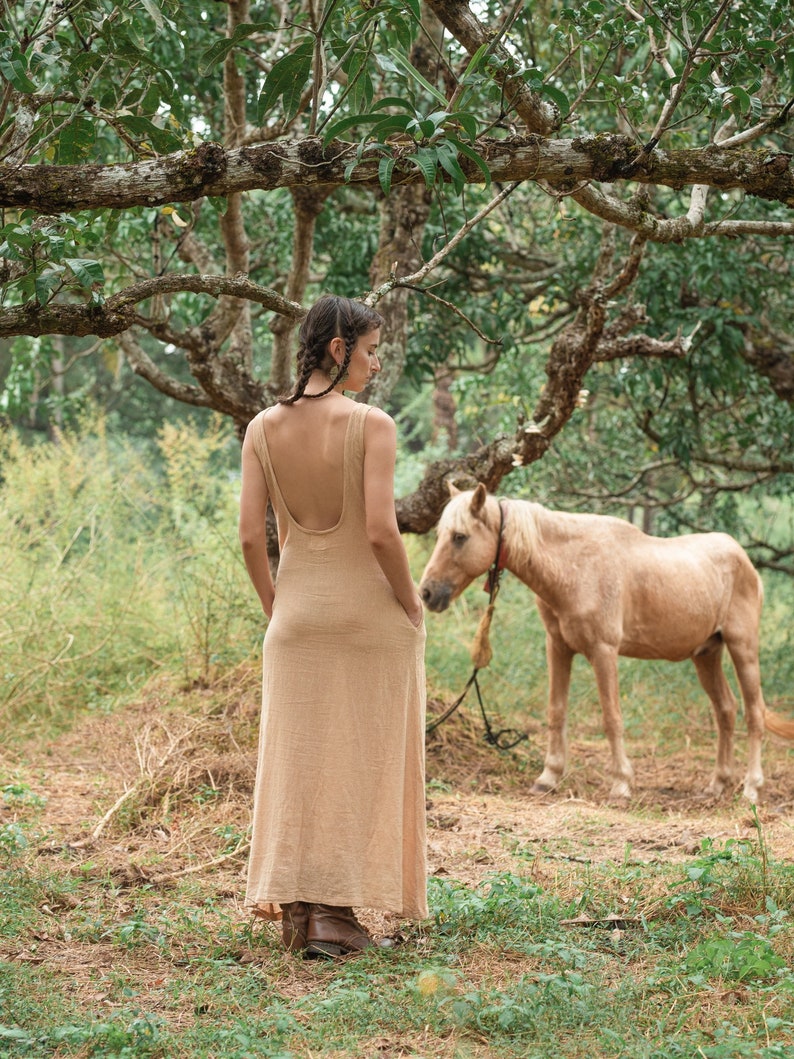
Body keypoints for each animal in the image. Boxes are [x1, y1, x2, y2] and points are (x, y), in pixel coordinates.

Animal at [419, 485, 791, 796]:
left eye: (460, 536)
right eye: (440, 534)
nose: (426, 593)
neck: (574, 568)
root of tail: (744, 559)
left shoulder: (603, 651)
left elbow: (612, 718)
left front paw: (621, 784)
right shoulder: (558, 647)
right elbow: (556, 710)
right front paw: (549, 777)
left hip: (743, 648)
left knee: (754, 714)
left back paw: (751, 788)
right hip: (706, 654)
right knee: (726, 710)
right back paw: (717, 784)